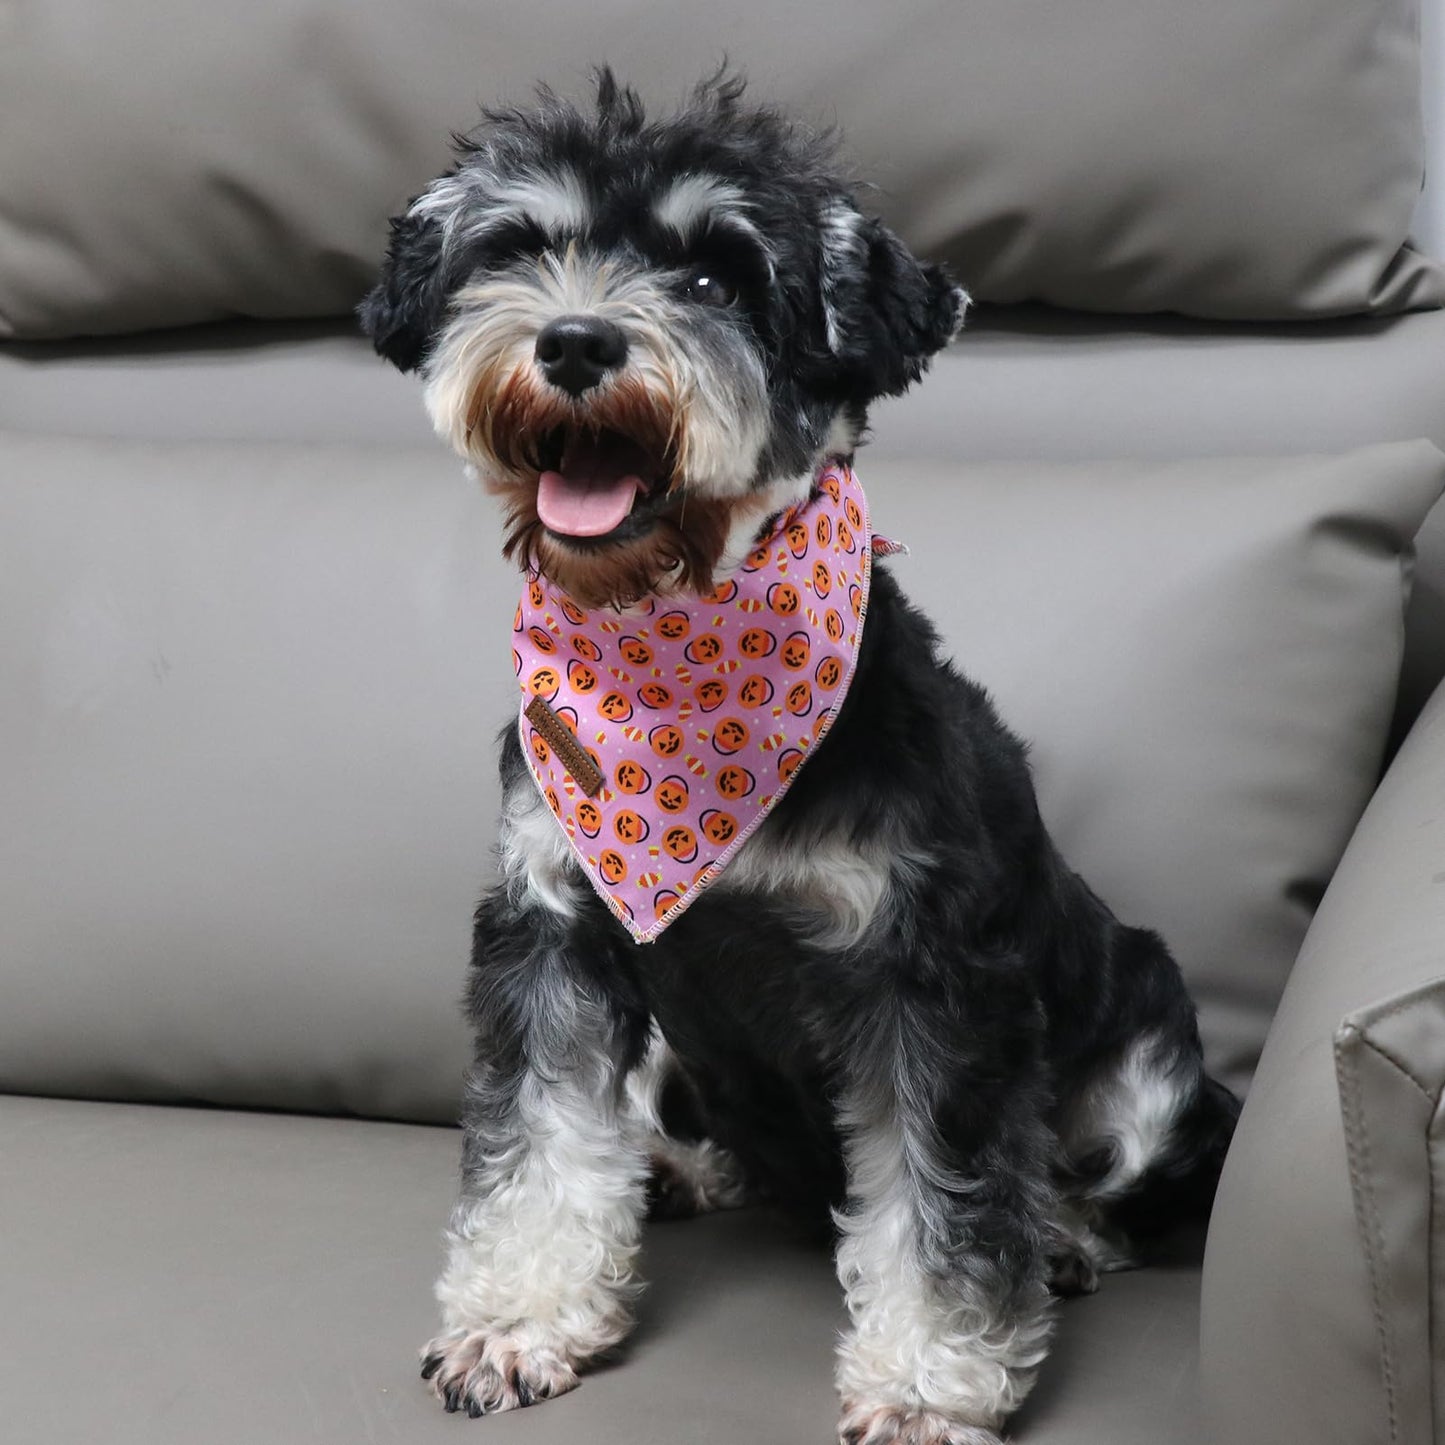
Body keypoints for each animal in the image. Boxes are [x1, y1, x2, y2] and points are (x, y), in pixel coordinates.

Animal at [355, 70, 1236, 1445]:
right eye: (517, 247)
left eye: (717, 275)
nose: (574, 343)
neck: (674, 662)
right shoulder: (552, 929)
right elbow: (540, 1144)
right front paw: (517, 1318)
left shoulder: (930, 986)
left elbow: (941, 1204)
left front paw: (926, 1381)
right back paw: (678, 1165)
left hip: (1149, 1047)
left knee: (1102, 1184)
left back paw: (1063, 1234)